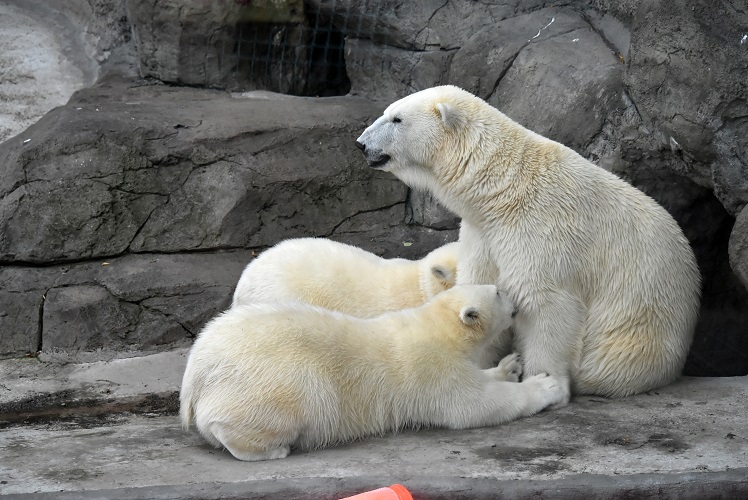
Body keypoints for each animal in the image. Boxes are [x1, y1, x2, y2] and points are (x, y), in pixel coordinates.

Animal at [356, 85, 700, 406]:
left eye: (397, 118)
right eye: (387, 112)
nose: (360, 143)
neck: (502, 192)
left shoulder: (543, 230)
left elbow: (545, 303)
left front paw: (545, 382)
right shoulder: (483, 234)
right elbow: (483, 287)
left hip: (636, 330)